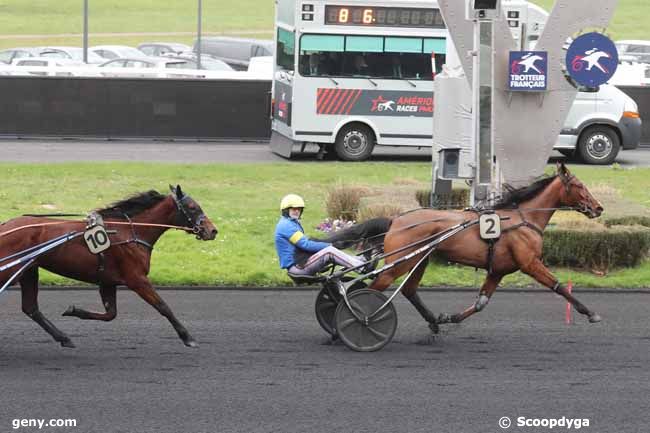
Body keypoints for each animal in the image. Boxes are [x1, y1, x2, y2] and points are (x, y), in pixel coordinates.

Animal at [0, 186, 218, 348]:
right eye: (192, 207)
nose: (212, 230)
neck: (130, 232)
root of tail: (5, 226)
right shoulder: (136, 279)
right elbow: (163, 306)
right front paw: (188, 337)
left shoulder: (107, 281)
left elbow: (110, 314)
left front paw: (74, 310)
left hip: (28, 270)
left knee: (31, 308)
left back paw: (64, 338)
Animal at [332, 164, 604, 332]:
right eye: (580, 185)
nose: (598, 208)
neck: (524, 218)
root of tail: (395, 220)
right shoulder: (529, 263)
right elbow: (559, 286)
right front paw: (590, 312)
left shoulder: (498, 270)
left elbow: (481, 302)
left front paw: (449, 318)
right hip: (400, 262)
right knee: (371, 289)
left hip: (419, 260)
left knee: (407, 290)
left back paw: (433, 321)